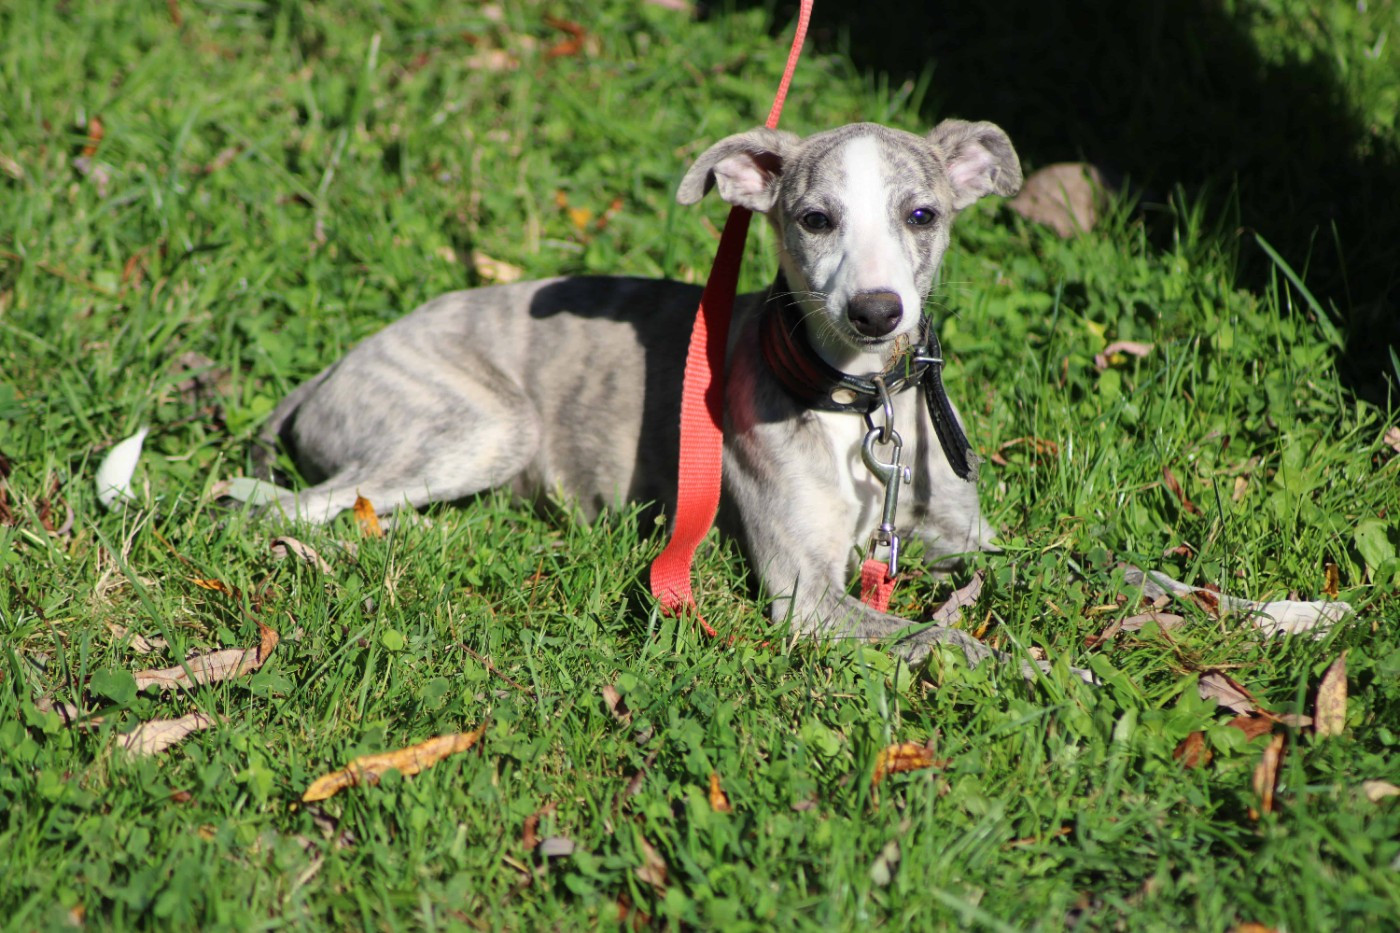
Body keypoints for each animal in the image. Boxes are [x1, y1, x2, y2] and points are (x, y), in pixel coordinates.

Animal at [261, 119, 1025, 670]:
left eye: (922, 215)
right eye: (814, 219)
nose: (876, 312)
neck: (862, 399)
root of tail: (332, 371)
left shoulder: (964, 535)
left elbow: (1032, 564)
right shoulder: (806, 594)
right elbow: (934, 635)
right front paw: (1027, 672)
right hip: (486, 426)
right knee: (279, 509)